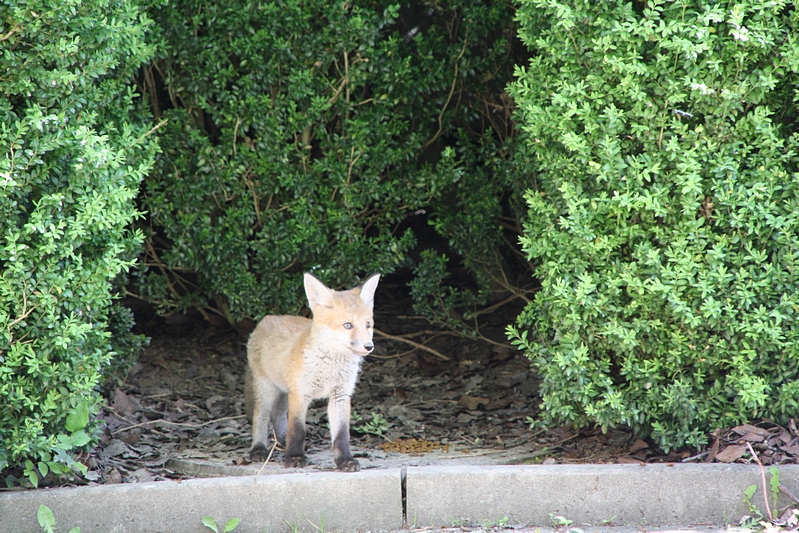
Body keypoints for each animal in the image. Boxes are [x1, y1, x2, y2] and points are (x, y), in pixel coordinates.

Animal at [244, 272, 380, 472]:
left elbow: (341, 435)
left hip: (284, 390)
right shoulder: (300, 393)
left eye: (368, 325)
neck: (329, 366)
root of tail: (267, 318)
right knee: (260, 415)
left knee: (279, 415)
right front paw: (294, 457)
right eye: (348, 325)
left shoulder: (340, 395)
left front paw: (345, 460)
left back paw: (282, 441)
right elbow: (297, 429)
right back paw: (259, 448)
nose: (369, 346)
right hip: (266, 389)